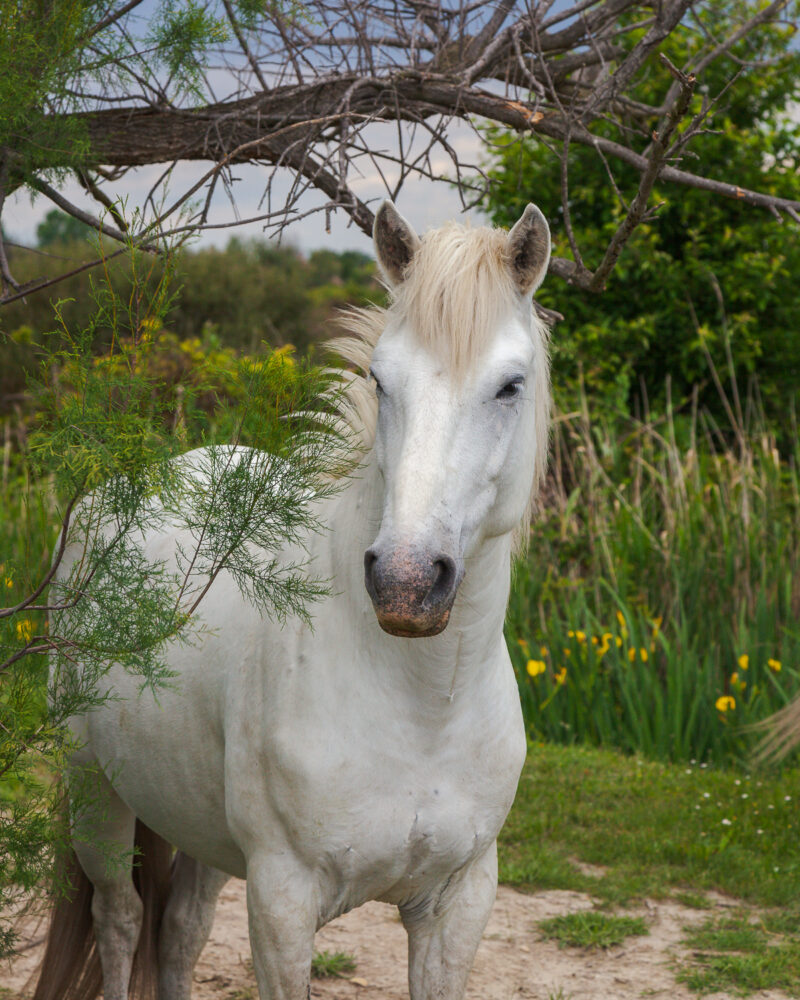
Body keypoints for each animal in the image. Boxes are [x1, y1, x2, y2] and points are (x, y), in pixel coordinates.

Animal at [34, 201, 552, 1000]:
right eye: (380, 380)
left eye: (510, 385)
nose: (405, 581)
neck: (423, 707)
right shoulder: (282, 901)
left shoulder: (459, 901)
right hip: (95, 794)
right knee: (119, 922)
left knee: (180, 931)